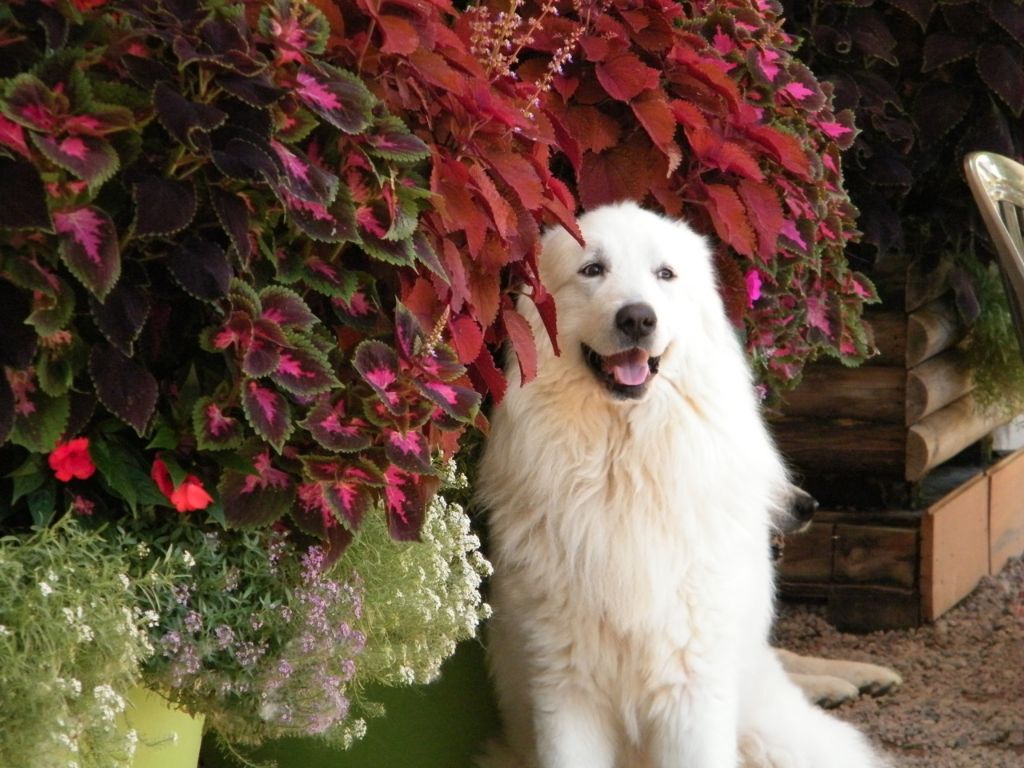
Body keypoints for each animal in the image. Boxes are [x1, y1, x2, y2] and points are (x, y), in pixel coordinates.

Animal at [475, 204, 884, 768]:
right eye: (592, 270)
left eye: (664, 274)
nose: (637, 318)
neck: (622, 469)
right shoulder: (566, 689)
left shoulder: (692, 688)